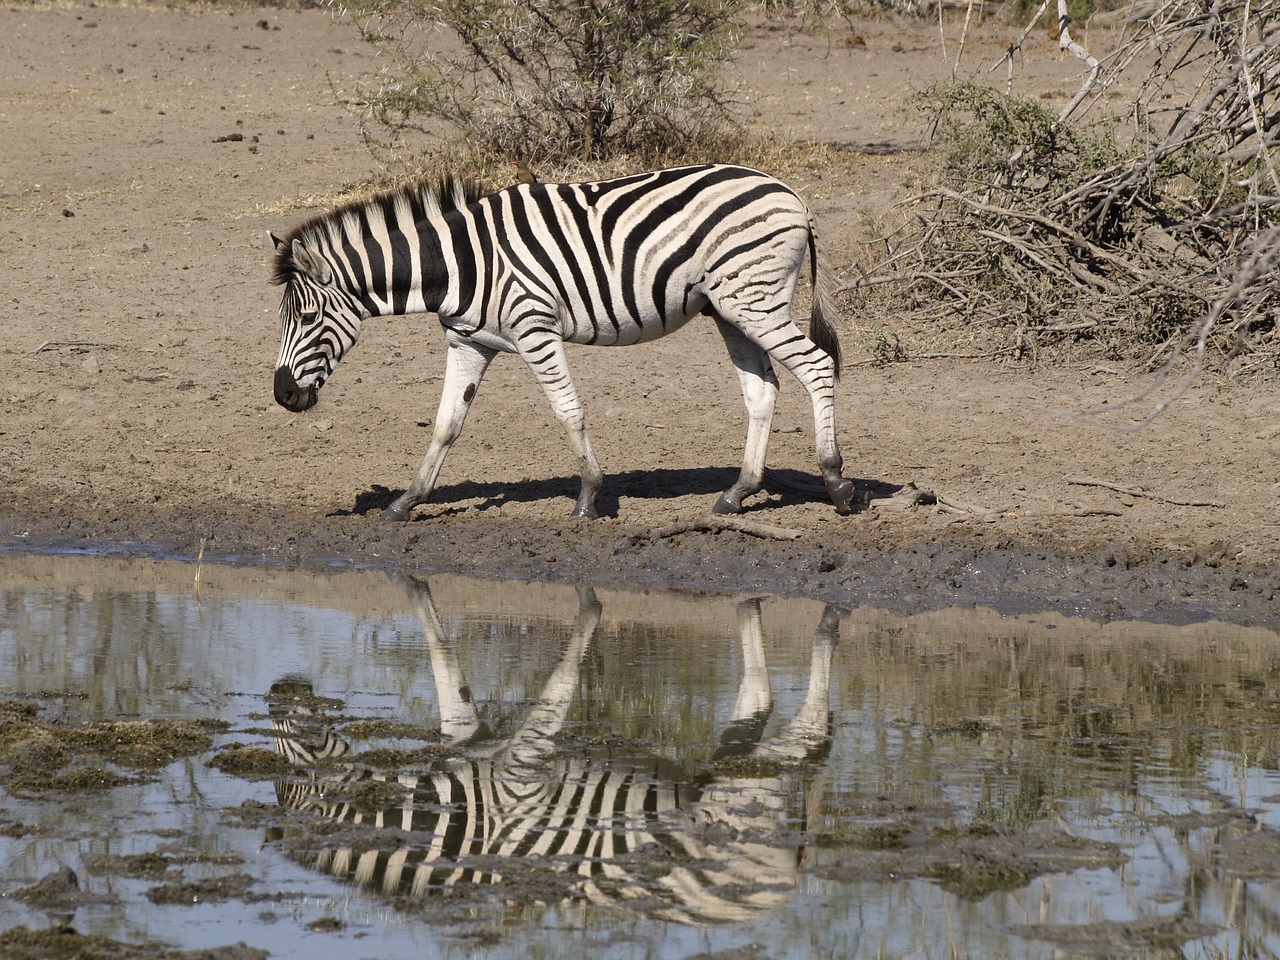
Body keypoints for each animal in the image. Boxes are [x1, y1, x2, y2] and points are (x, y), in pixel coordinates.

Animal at [267, 576, 839, 926]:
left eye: (297, 741)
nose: (277, 688)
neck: (451, 812)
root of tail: (779, 891)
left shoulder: (522, 769)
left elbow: (557, 685)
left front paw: (589, 611)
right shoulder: (473, 738)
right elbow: (448, 669)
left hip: (741, 792)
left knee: (807, 732)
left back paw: (827, 631)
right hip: (734, 781)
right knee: (768, 710)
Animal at [275, 167, 860, 527]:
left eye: (307, 317)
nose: (283, 396)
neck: (462, 263)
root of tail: (790, 193)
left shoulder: (536, 328)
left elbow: (568, 411)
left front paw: (587, 497)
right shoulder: (467, 343)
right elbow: (446, 425)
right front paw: (406, 502)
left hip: (754, 299)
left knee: (817, 364)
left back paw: (836, 482)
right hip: (731, 308)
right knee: (762, 391)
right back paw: (739, 492)